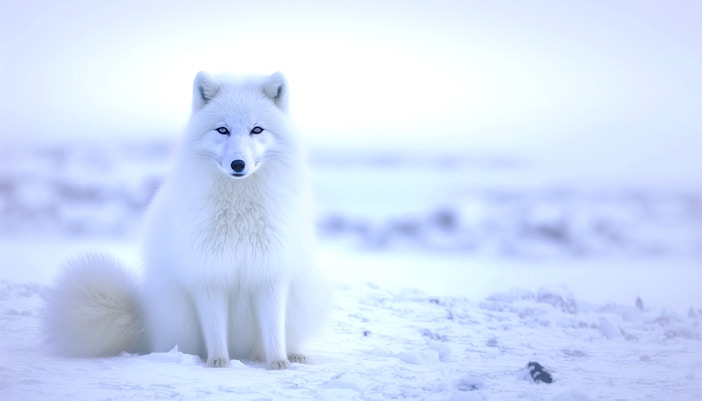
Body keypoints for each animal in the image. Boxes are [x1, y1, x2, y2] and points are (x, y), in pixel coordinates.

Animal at [44, 71, 332, 370]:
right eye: (222, 130)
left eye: (257, 130)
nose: (238, 164)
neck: (238, 213)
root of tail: (148, 325)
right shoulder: (207, 275)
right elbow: (215, 330)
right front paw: (218, 362)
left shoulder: (270, 273)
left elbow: (274, 330)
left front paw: (278, 362)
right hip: (178, 317)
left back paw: (294, 354)